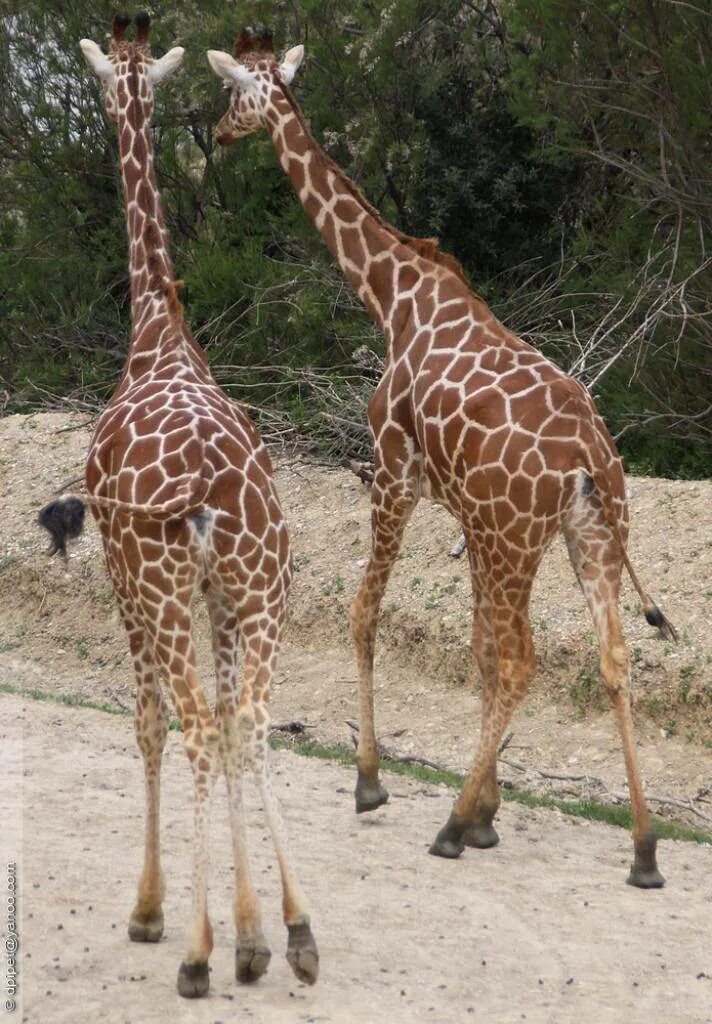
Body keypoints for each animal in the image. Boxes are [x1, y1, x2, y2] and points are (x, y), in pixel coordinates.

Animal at [40, 14, 319, 999]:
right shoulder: (222, 600)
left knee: (193, 726)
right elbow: (237, 731)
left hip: (159, 589)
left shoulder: (125, 587)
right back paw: (296, 934)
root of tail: (204, 490)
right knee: (252, 721)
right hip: (263, 589)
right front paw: (253, 930)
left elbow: (149, 726)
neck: (160, 331)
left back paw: (194, 952)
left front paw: (156, 914)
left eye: (95, 83)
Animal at [207, 28, 680, 884]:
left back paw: (453, 825)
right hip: (589, 535)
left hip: (519, 538)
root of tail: (590, 457)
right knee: (612, 654)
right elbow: (477, 650)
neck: (393, 295)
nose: (218, 134)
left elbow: (367, 614)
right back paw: (643, 848)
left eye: (232, 93)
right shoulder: (466, 515)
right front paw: (490, 809)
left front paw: (375, 784)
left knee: (528, 660)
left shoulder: (394, 475)